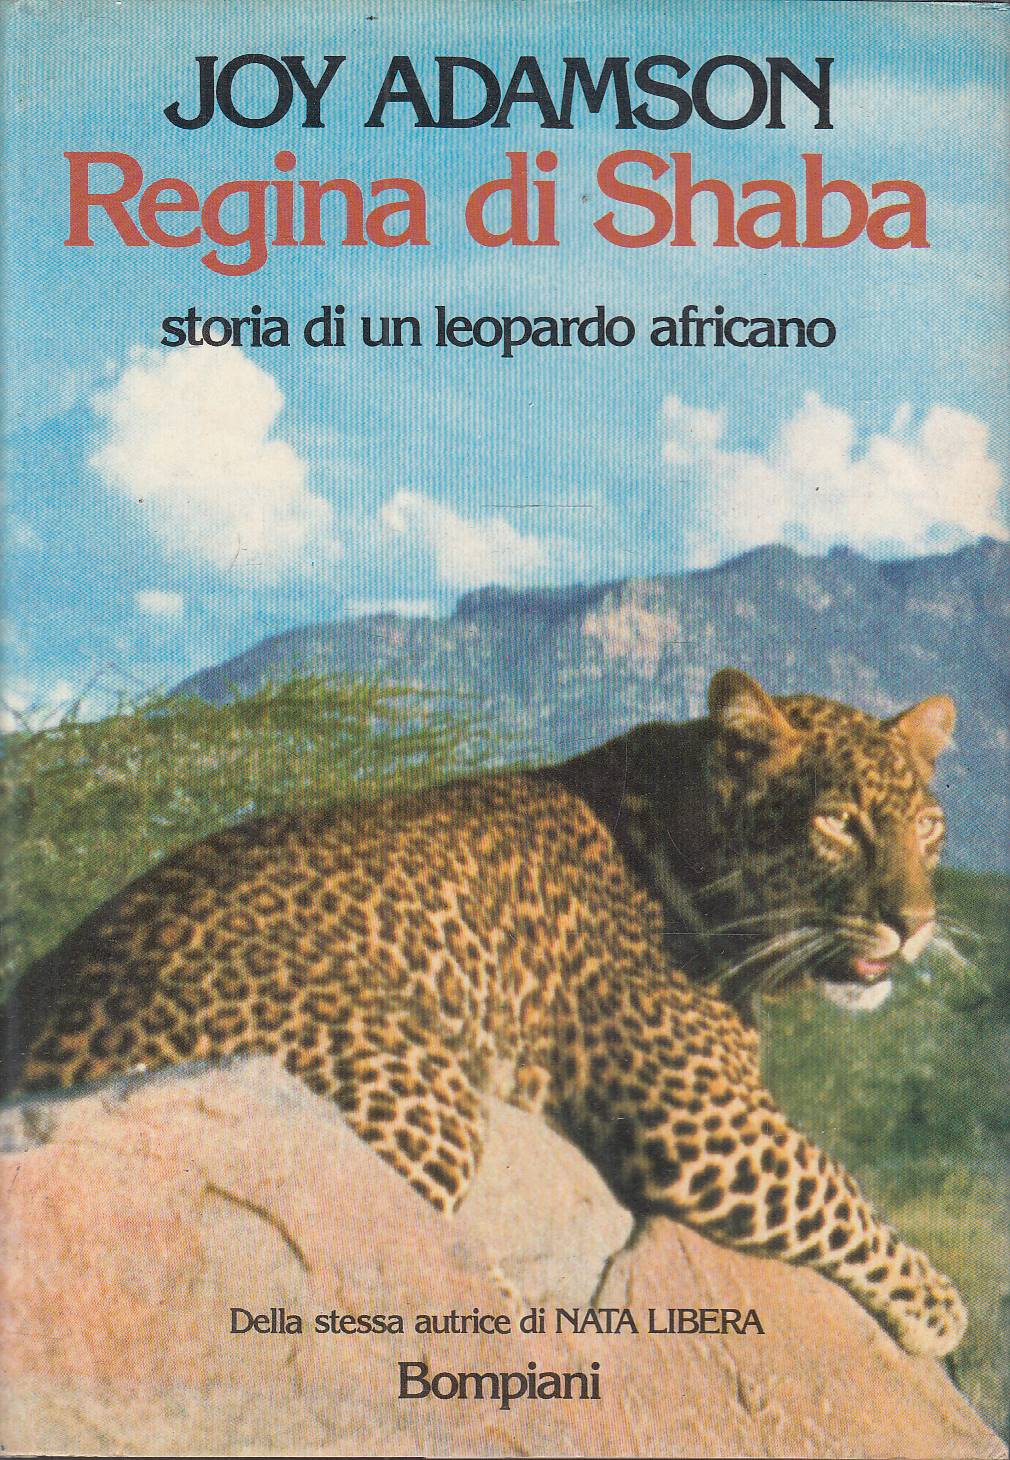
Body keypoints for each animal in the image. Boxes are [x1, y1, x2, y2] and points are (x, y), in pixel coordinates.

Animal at [1, 668, 967, 1357]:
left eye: (928, 829)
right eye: (839, 823)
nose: (915, 923)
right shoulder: (700, 1119)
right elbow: (835, 1187)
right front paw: (940, 1304)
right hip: (412, 1086)